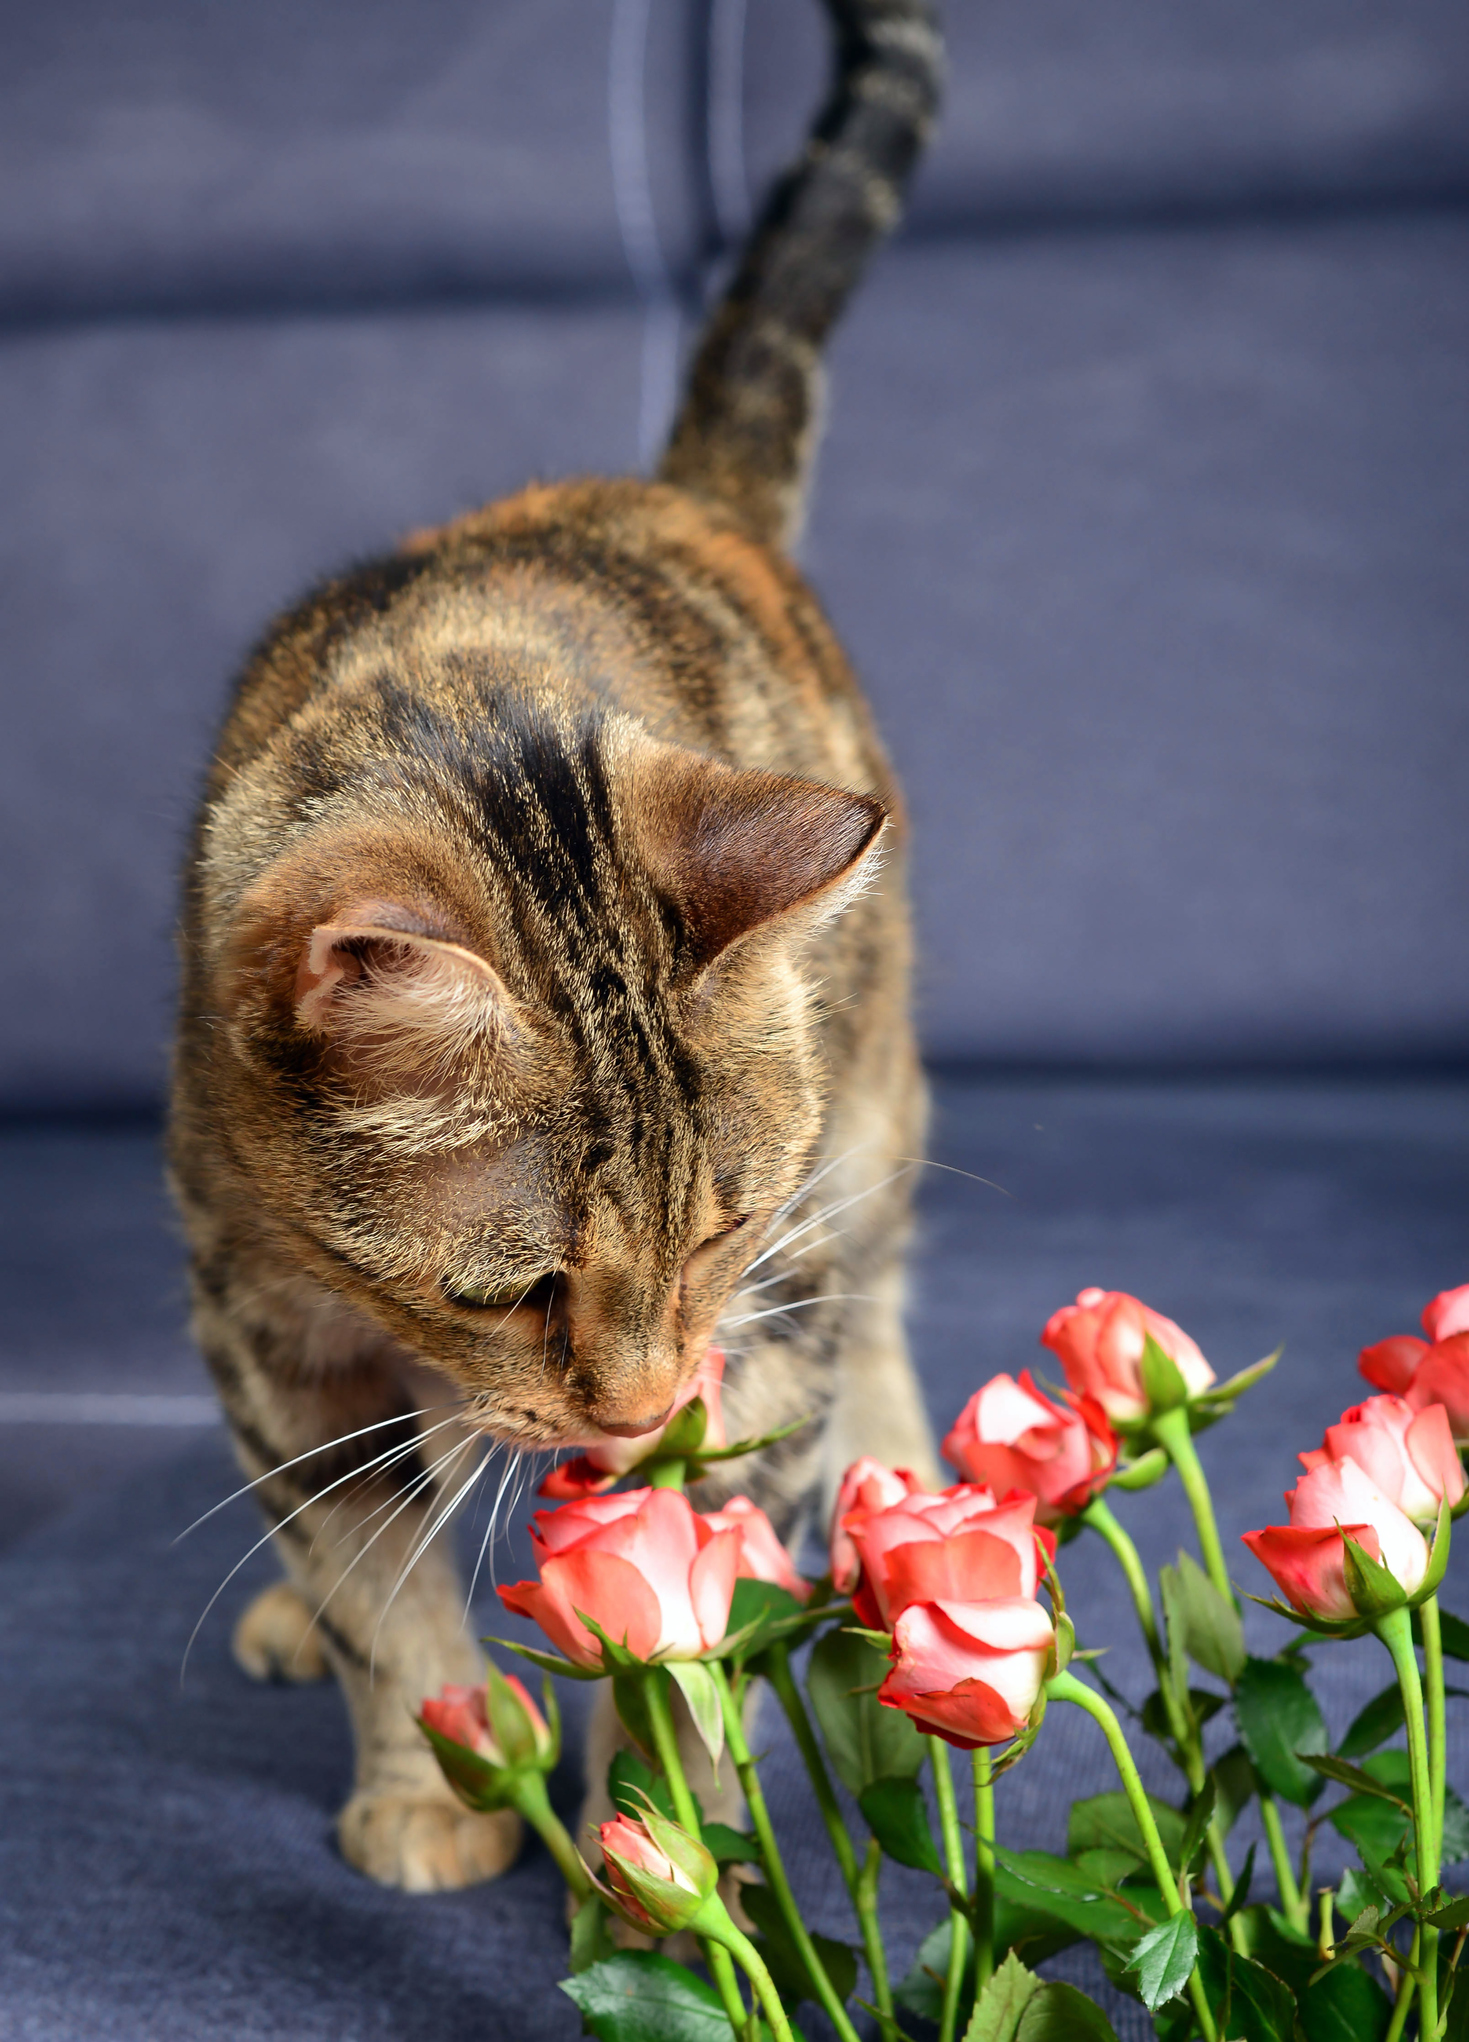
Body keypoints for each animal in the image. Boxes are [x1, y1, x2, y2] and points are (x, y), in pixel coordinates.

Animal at [169, 0, 943, 1894]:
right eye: (505, 1289)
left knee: (882, 1295)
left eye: (719, 1226)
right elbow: (369, 1577)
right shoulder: (267, 1332)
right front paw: (430, 1778)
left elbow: (685, 1615)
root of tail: (666, 490)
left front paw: (661, 1845)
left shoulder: (768, 1296)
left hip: (873, 1122)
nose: (632, 1404)